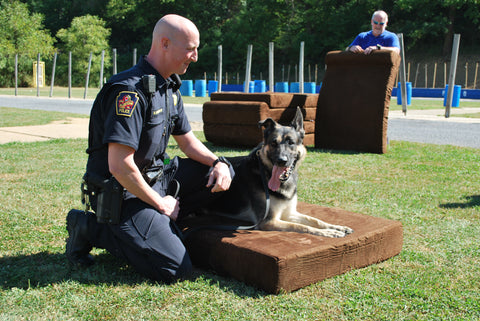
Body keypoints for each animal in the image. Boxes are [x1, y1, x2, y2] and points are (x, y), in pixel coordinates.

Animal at [190, 109, 352, 236]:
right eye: (274, 143)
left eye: (291, 143)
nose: (281, 160)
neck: (266, 173)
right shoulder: (268, 221)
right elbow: (301, 226)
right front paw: (328, 232)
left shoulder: (289, 213)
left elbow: (314, 220)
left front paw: (336, 227)